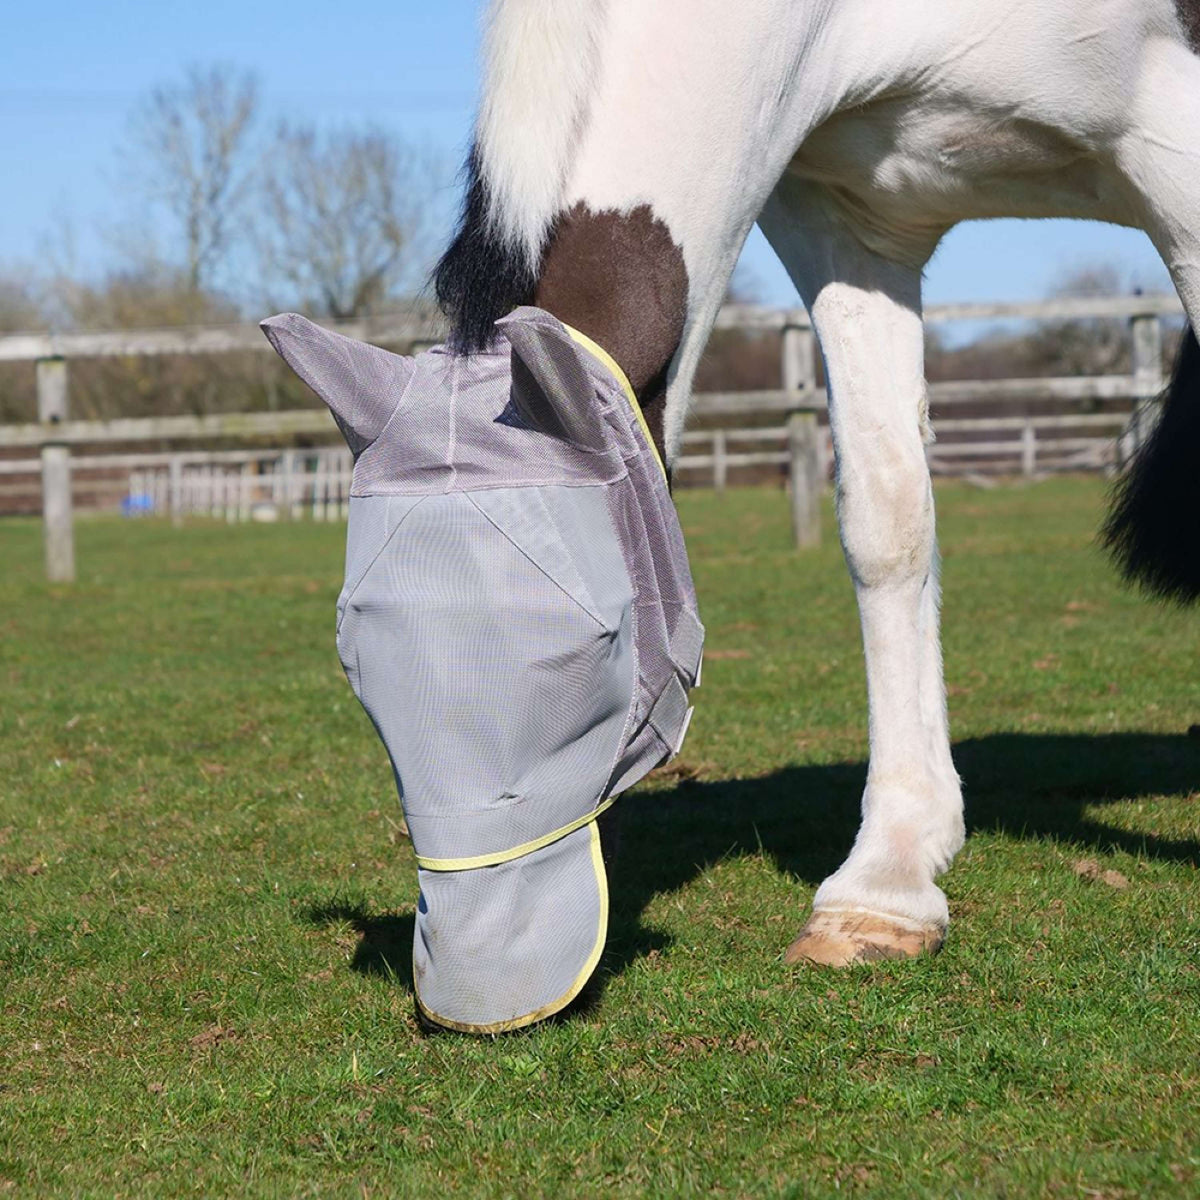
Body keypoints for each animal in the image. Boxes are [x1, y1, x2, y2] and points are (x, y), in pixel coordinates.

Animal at [432, 0, 1200, 969]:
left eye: (573, 657)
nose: (477, 959)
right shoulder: (849, 225)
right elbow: (887, 521)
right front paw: (887, 883)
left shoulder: (1172, 146)